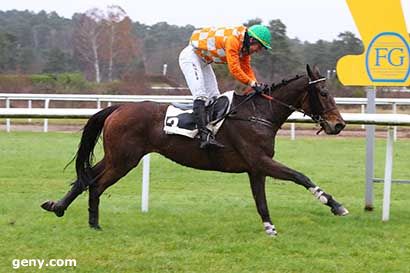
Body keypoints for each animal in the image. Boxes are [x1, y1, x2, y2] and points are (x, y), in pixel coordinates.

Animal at [41, 65, 350, 235]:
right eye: (324, 93)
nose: (339, 124)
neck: (258, 113)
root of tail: (118, 107)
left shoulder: (255, 167)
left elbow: (261, 200)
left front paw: (269, 228)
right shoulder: (260, 161)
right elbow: (300, 176)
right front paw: (336, 205)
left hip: (117, 156)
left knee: (84, 177)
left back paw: (57, 207)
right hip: (124, 160)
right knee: (96, 184)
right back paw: (94, 223)